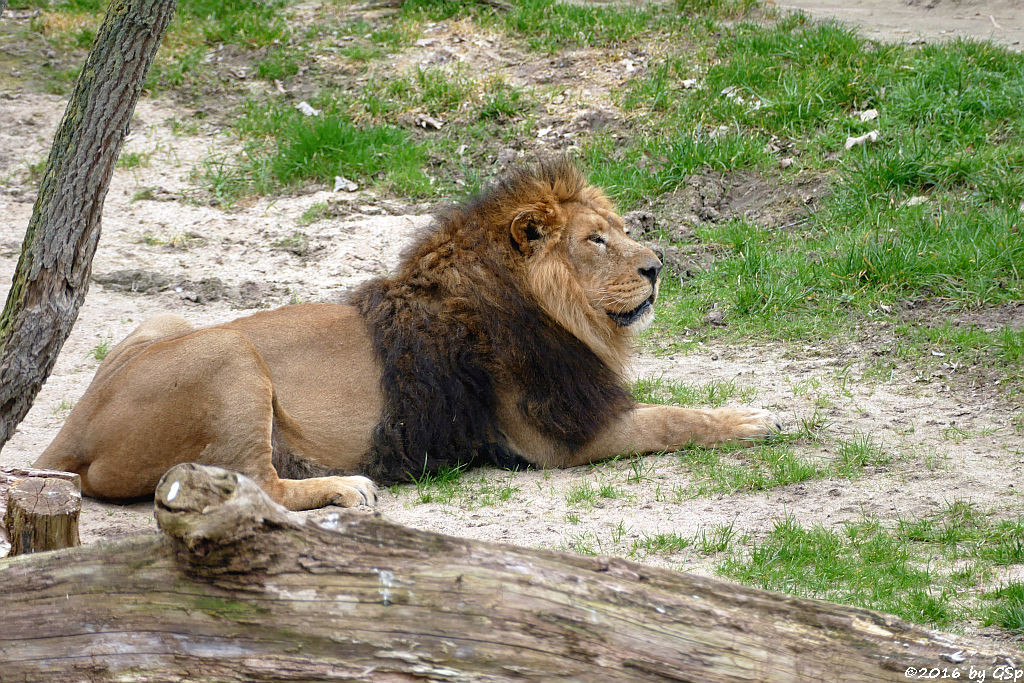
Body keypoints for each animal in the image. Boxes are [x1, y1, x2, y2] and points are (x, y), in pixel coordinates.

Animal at [34, 160, 774, 509]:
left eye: (621, 230)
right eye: (596, 240)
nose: (657, 265)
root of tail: (72, 434)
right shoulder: (558, 438)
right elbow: (672, 418)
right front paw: (753, 418)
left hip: (170, 321)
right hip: (233, 356)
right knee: (256, 483)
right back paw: (346, 488)